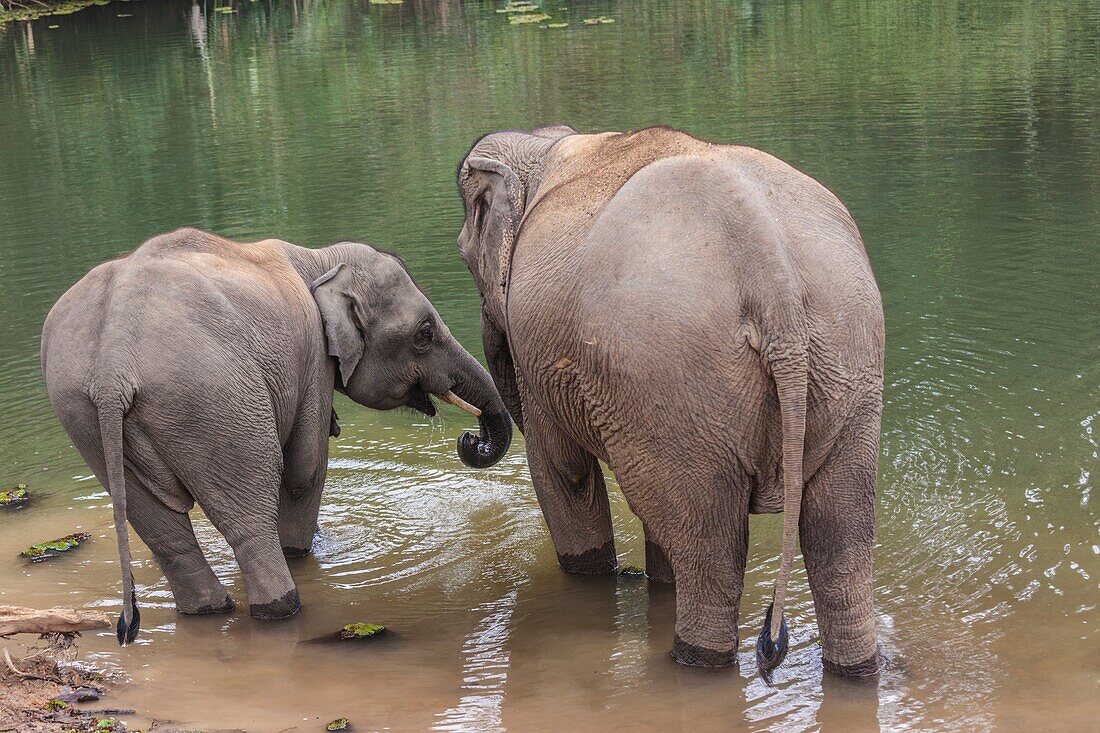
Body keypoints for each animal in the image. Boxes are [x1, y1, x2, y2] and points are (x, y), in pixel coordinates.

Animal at [38, 226, 510, 638]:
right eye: (424, 334)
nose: (471, 440)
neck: (319, 259)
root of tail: (112, 363)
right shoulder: (315, 358)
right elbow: (306, 469)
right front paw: (303, 551)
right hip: (212, 402)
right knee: (250, 514)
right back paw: (282, 609)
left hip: (84, 415)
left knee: (161, 529)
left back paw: (210, 612)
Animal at [457, 124, 893, 673]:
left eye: (463, 253)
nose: (469, 441)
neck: (543, 145)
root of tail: (771, 274)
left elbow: (563, 470)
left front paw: (590, 582)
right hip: (843, 366)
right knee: (838, 540)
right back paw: (856, 668)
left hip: (675, 383)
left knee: (714, 552)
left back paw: (692, 662)